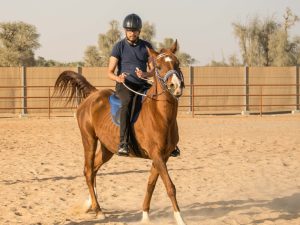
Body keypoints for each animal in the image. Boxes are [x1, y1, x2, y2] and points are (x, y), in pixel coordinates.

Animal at [52, 40, 186, 225]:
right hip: (89, 140)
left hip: (107, 148)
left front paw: (145, 215)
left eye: (177, 63)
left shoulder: (162, 157)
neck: (160, 114)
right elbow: (170, 186)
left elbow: (151, 185)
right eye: (158, 66)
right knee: (88, 171)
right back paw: (98, 210)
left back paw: (90, 203)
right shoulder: (157, 155)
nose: (176, 86)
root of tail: (93, 95)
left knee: (94, 169)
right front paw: (180, 219)